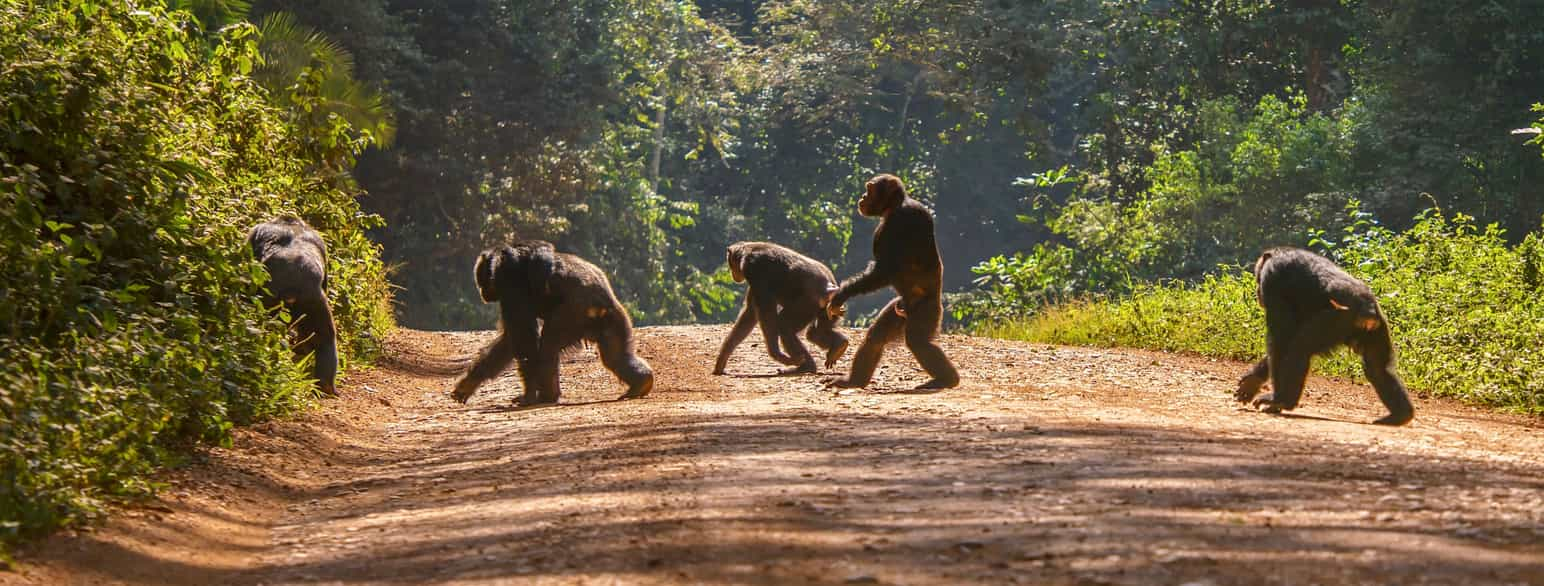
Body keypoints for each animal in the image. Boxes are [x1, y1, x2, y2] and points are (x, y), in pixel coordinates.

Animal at [453, 240, 654, 404]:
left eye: (481, 281)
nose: (482, 292)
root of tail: (601, 304)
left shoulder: (510, 284)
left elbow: (523, 338)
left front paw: (528, 395)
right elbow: (509, 341)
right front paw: (468, 383)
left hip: (572, 314)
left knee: (548, 346)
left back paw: (547, 396)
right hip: (613, 319)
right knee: (616, 357)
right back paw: (641, 383)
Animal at [713, 242, 852, 374]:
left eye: (731, 264)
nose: (732, 273)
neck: (745, 253)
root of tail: (829, 288)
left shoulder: (754, 269)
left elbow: (766, 312)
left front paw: (776, 354)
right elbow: (749, 314)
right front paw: (722, 359)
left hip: (806, 305)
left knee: (784, 325)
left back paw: (805, 366)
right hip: (831, 309)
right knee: (815, 333)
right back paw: (839, 345)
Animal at [827, 171, 957, 388]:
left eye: (869, 189)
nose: (863, 196)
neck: (893, 208)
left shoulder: (899, 223)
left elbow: (884, 270)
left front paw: (842, 295)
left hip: (926, 311)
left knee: (919, 342)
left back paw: (947, 379)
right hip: (898, 309)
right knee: (876, 338)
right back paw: (853, 381)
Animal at [1235, 246, 1414, 425]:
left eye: (1258, 278)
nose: (1257, 291)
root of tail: (1368, 310)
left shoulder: (1272, 280)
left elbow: (1281, 338)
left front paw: (1268, 394)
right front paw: (1252, 381)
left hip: (1337, 320)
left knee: (1300, 348)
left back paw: (1281, 400)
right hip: (1377, 328)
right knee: (1378, 369)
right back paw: (1400, 415)